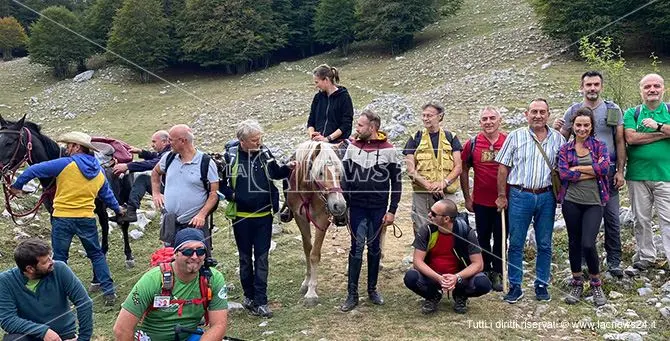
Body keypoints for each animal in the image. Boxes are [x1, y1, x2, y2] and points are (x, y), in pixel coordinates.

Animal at [286, 141, 346, 306]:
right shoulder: (300, 218)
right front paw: (306, 283)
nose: (339, 205)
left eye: (339, 173)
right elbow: (307, 249)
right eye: (320, 173)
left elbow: (314, 254)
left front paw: (312, 292)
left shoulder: (322, 219)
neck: (308, 193)